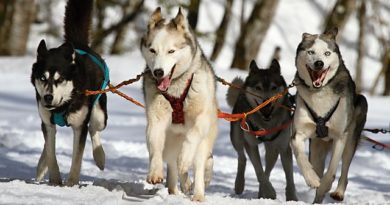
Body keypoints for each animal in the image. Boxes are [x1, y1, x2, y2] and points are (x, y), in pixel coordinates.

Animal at [30, 0, 107, 186]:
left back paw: (99, 157)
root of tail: (78, 44)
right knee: (47, 144)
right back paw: (41, 166)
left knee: (94, 128)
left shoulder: (79, 126)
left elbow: (77, 159)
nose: (48, 97)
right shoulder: (47, 122)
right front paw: (55, 180)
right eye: (42, 78)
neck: (62, 106)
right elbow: (51, 152)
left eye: (60, 79)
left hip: (100, 114)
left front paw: (71, 184)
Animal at [141, 7, 219, 200]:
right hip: (170, 144)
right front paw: (155, 172)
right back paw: (177, 188)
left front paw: (184, 159)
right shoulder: (156, 120)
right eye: (152, 50)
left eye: (171, 51)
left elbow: (192, 137)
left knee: (199, 165)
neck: (176, 88)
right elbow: (154, 145)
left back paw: (198, 194)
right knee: (173, 166)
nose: (158, 72)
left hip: (203, 143)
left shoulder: (201, 119)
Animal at [227, 59, 298, 200]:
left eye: (274, 87)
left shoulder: (283, 147)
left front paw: (292, 198)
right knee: (242, 157)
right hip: (237, 138)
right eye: (258, 88)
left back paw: (261, 193)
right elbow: (259, 171)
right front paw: (270, 192)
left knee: (268, 168)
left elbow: (289, 177)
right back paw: (239, 184)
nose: (267, 101)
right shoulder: (251, 144)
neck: (265, 125)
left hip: (272, 149)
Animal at [292, 28, 368, 203]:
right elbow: (301, 157)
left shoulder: (340, 136)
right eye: (311, 52)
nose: (319, 63)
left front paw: (325, 185)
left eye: (327, 53)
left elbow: (332, 170)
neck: (320, 92)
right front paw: (312, 179)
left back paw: (338, 192)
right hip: (316, 148)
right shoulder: (298, 133)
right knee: (317, 165)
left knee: (344, 169)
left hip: (351, 137)